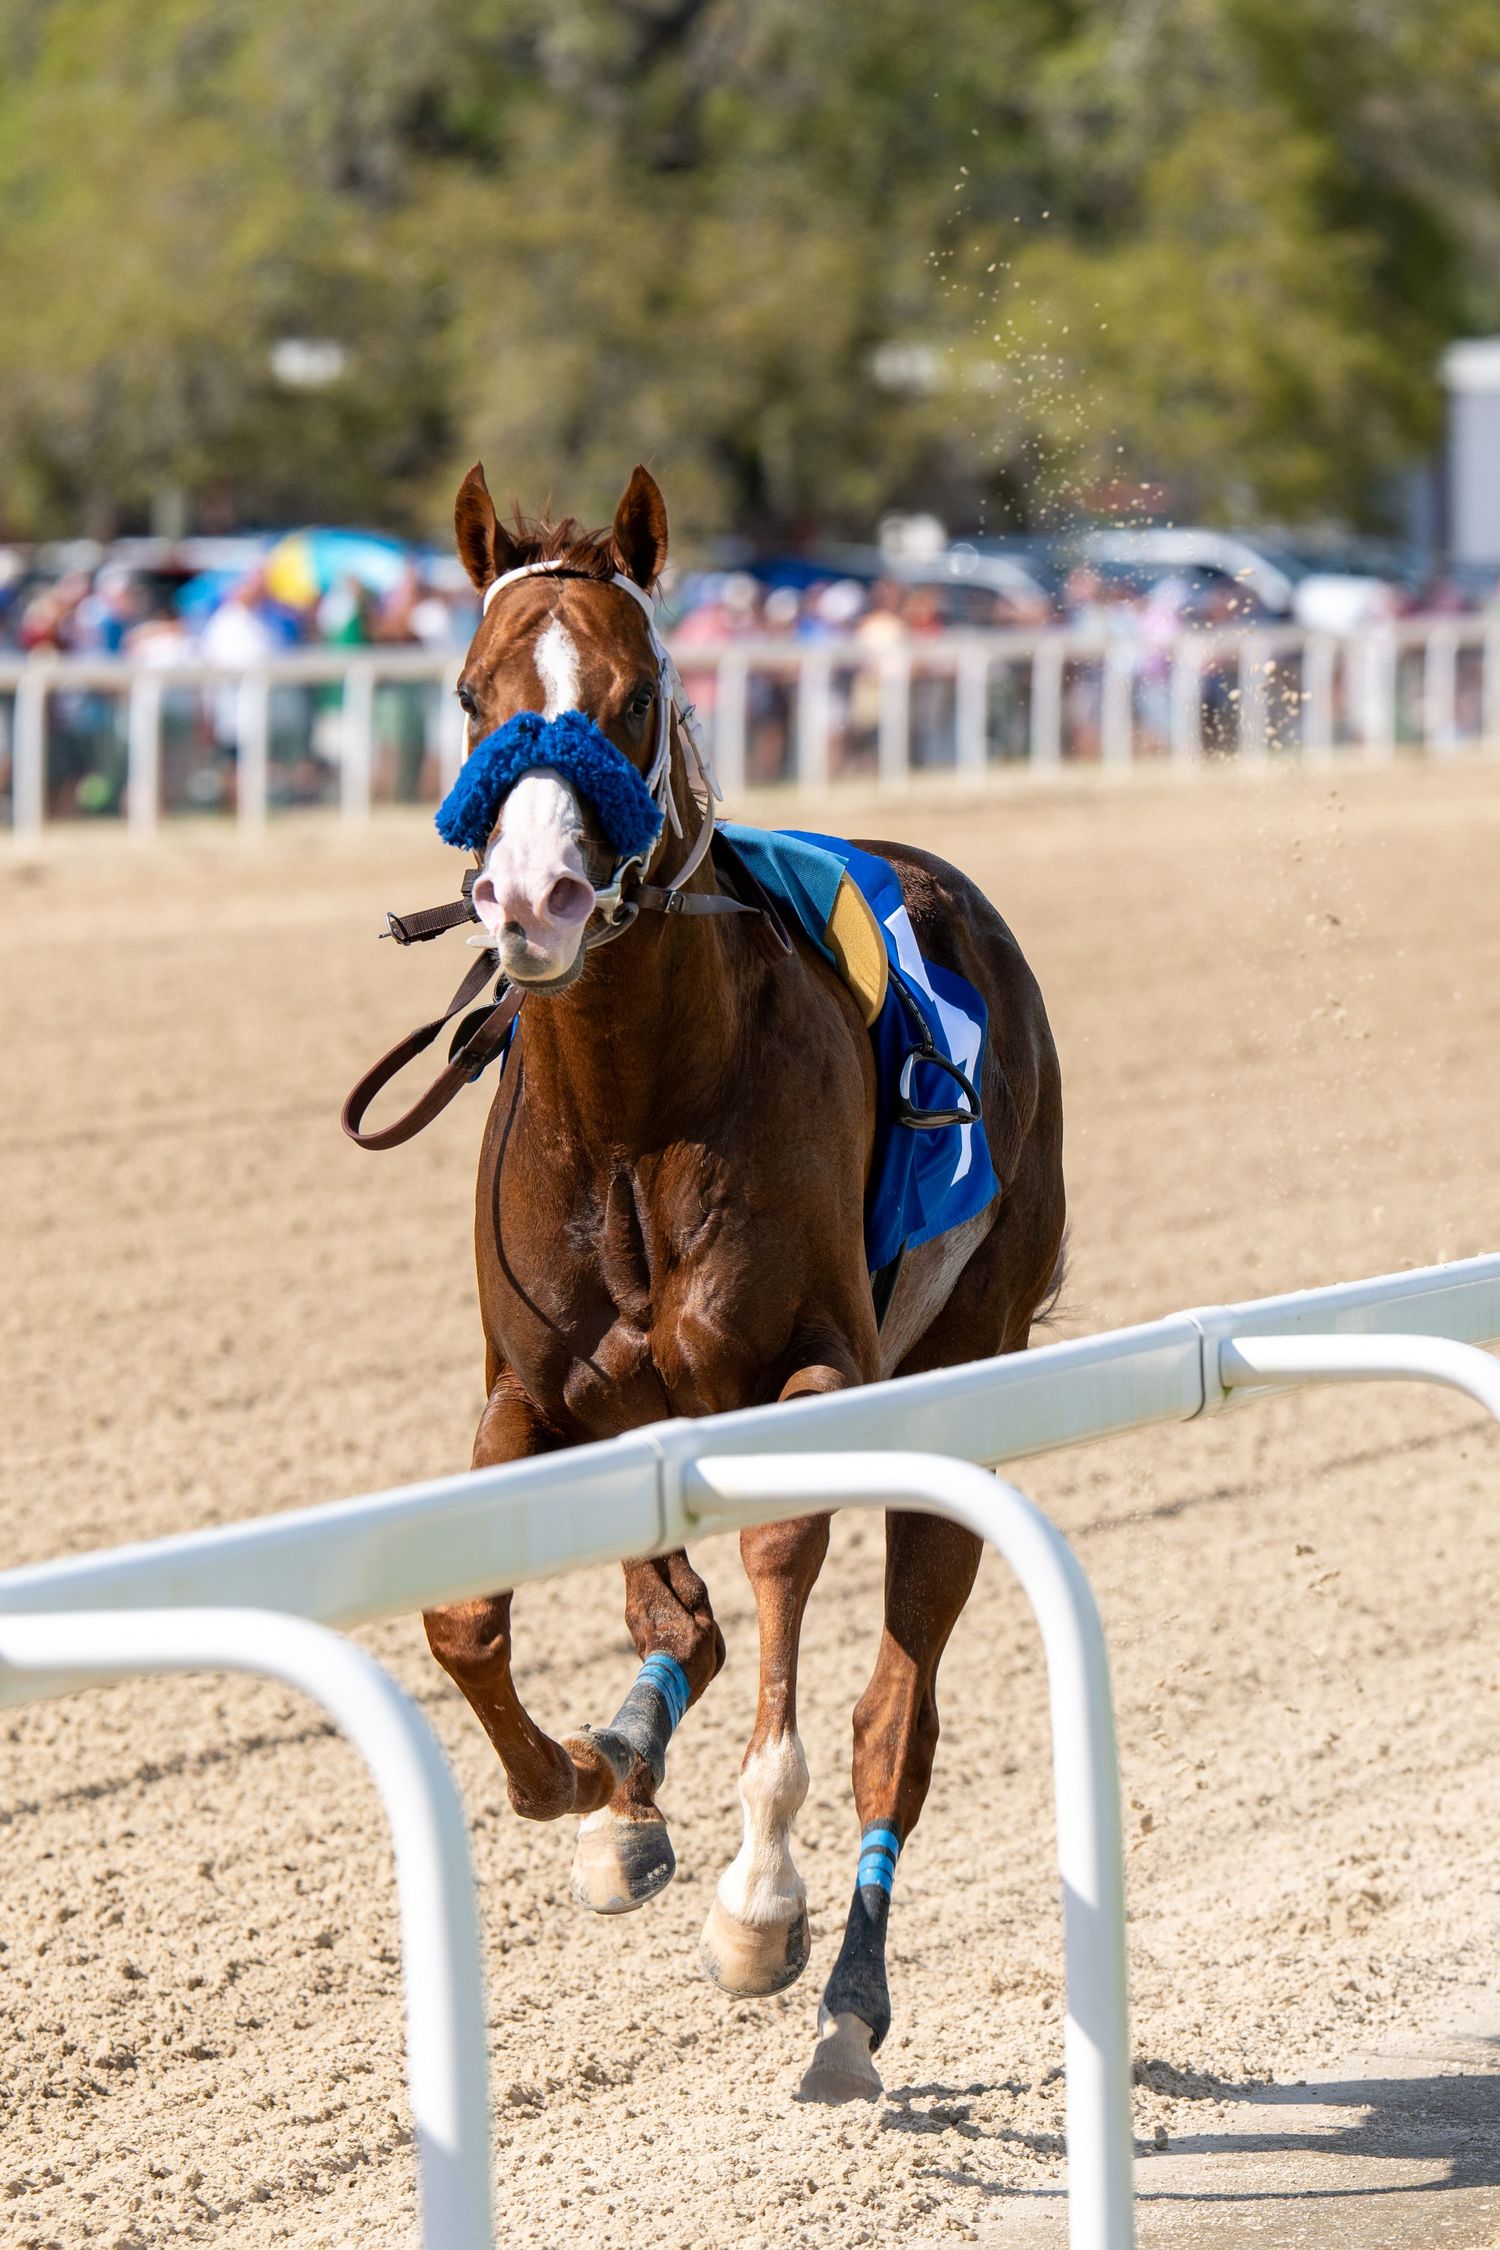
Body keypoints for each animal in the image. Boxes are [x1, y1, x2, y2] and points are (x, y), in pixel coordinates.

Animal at [416, 461, 1066, 2102]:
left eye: (635, 698)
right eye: (470, 696)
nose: (535, 897)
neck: (636, 1103)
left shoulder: (813, 1372)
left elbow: (780, 1576)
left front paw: (758, 1900)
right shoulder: (539, 1388)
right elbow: (471, 1621)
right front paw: (584, 1776)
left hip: (956, 1378)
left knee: (896, 1718)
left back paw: (847, 1997)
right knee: (681, 1627)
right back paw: (632, 1776)